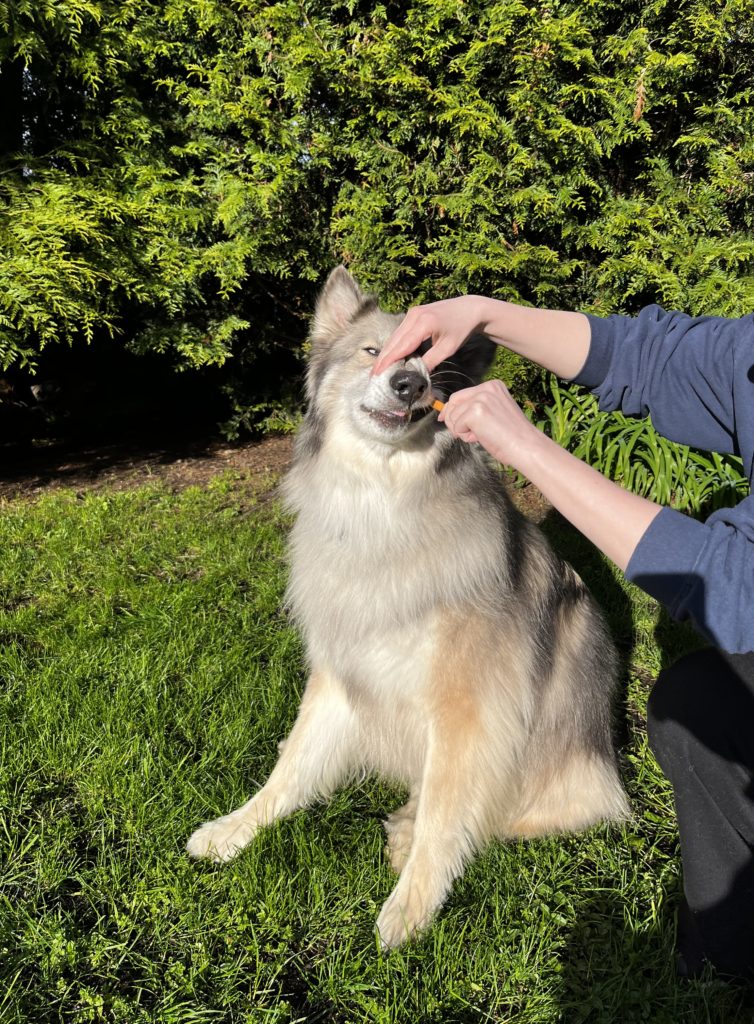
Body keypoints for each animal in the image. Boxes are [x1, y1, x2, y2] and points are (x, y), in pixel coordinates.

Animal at [188, 268, 631, 946]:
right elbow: (292, 767)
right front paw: (236, 828)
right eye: (375, 351)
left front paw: (411, 907)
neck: (384, 504)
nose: (410, 383)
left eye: (434, 367)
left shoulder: (467, 706)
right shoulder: (341, 673)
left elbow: (450, 813)